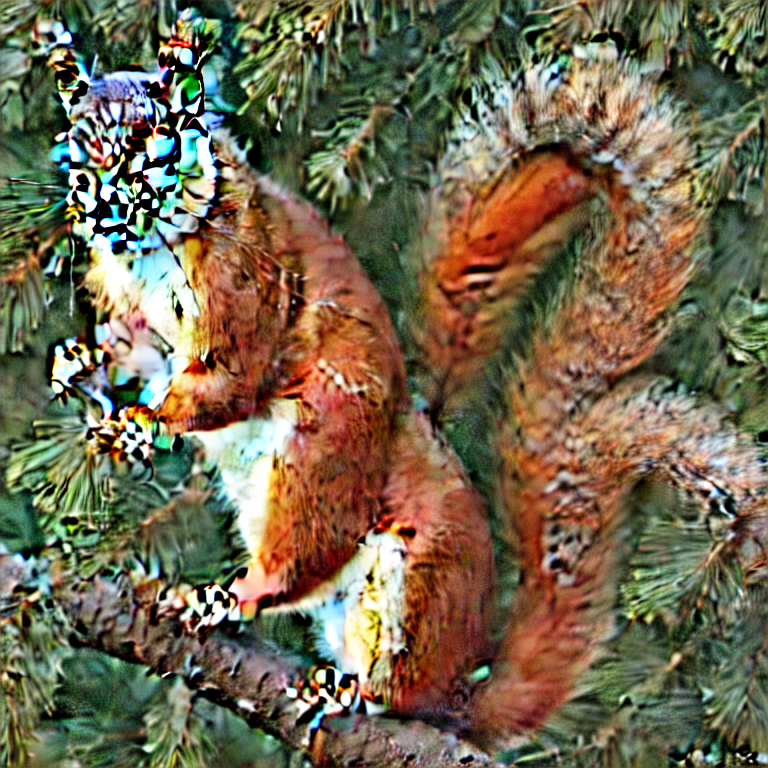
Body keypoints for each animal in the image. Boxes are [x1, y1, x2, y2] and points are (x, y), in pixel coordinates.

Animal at [45, 14, 766, 748]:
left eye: (153, 148)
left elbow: (227, 381)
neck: (149, 254)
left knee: (337, 613)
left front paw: (142, 423)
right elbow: (131, 349)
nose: (100, 212)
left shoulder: (248, 291)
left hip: (342, 484)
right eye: (73, 151)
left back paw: (268, 629)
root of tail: (458, 694)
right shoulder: (138, 315)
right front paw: (76, 363)